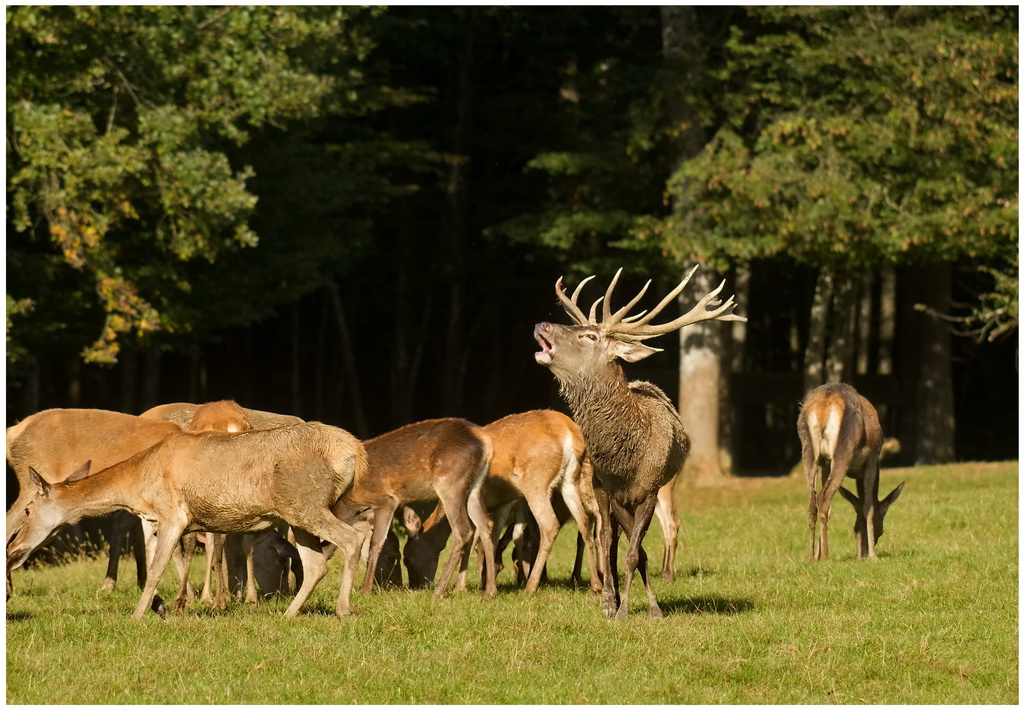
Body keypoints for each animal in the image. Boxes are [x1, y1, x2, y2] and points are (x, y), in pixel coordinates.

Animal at [7, 424, 368, 618]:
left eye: (28, 510)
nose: (13, 550)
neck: (137, 486)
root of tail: (355, 450)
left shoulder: (173, 515)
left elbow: (156, 571)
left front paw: (138, 615)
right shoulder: (160, 520)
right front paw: (161, 607)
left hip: (306, 501)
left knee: (352, 539)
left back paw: (344, 608)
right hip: (296, 513)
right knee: (316, 563)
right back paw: (290, 612)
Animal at [329, 420, 497, 602]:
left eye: (401, 558)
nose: (401, 586)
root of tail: (483, 439)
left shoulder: (386, 499)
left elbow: (375, 543)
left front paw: (365, 590)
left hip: (450, 482)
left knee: (464, 531)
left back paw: (439, 590)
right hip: (475, 486)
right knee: (486, 524)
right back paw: (490, 591)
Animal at [536, 264, 745, 622]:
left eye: (589, 336)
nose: (542, 324)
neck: (626, 461)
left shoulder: (648, 490)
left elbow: (636, 552)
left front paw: (649, 609)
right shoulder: (611, 491)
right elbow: (622, 547)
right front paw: (616, 605)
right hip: (599, 489)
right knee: (606, 539)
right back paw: (610, 598)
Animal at [798, 385, 905, 561]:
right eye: (881, 530)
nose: (862, 554)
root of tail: (822, 408)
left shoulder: (825, 464)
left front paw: (818, 554)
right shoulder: (872, 459)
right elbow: (868, 507)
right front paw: (873, 556)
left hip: (808, 452)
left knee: (813, 503)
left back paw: (811, 557)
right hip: (843, 451)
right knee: (823, 497)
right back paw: (826, 556)